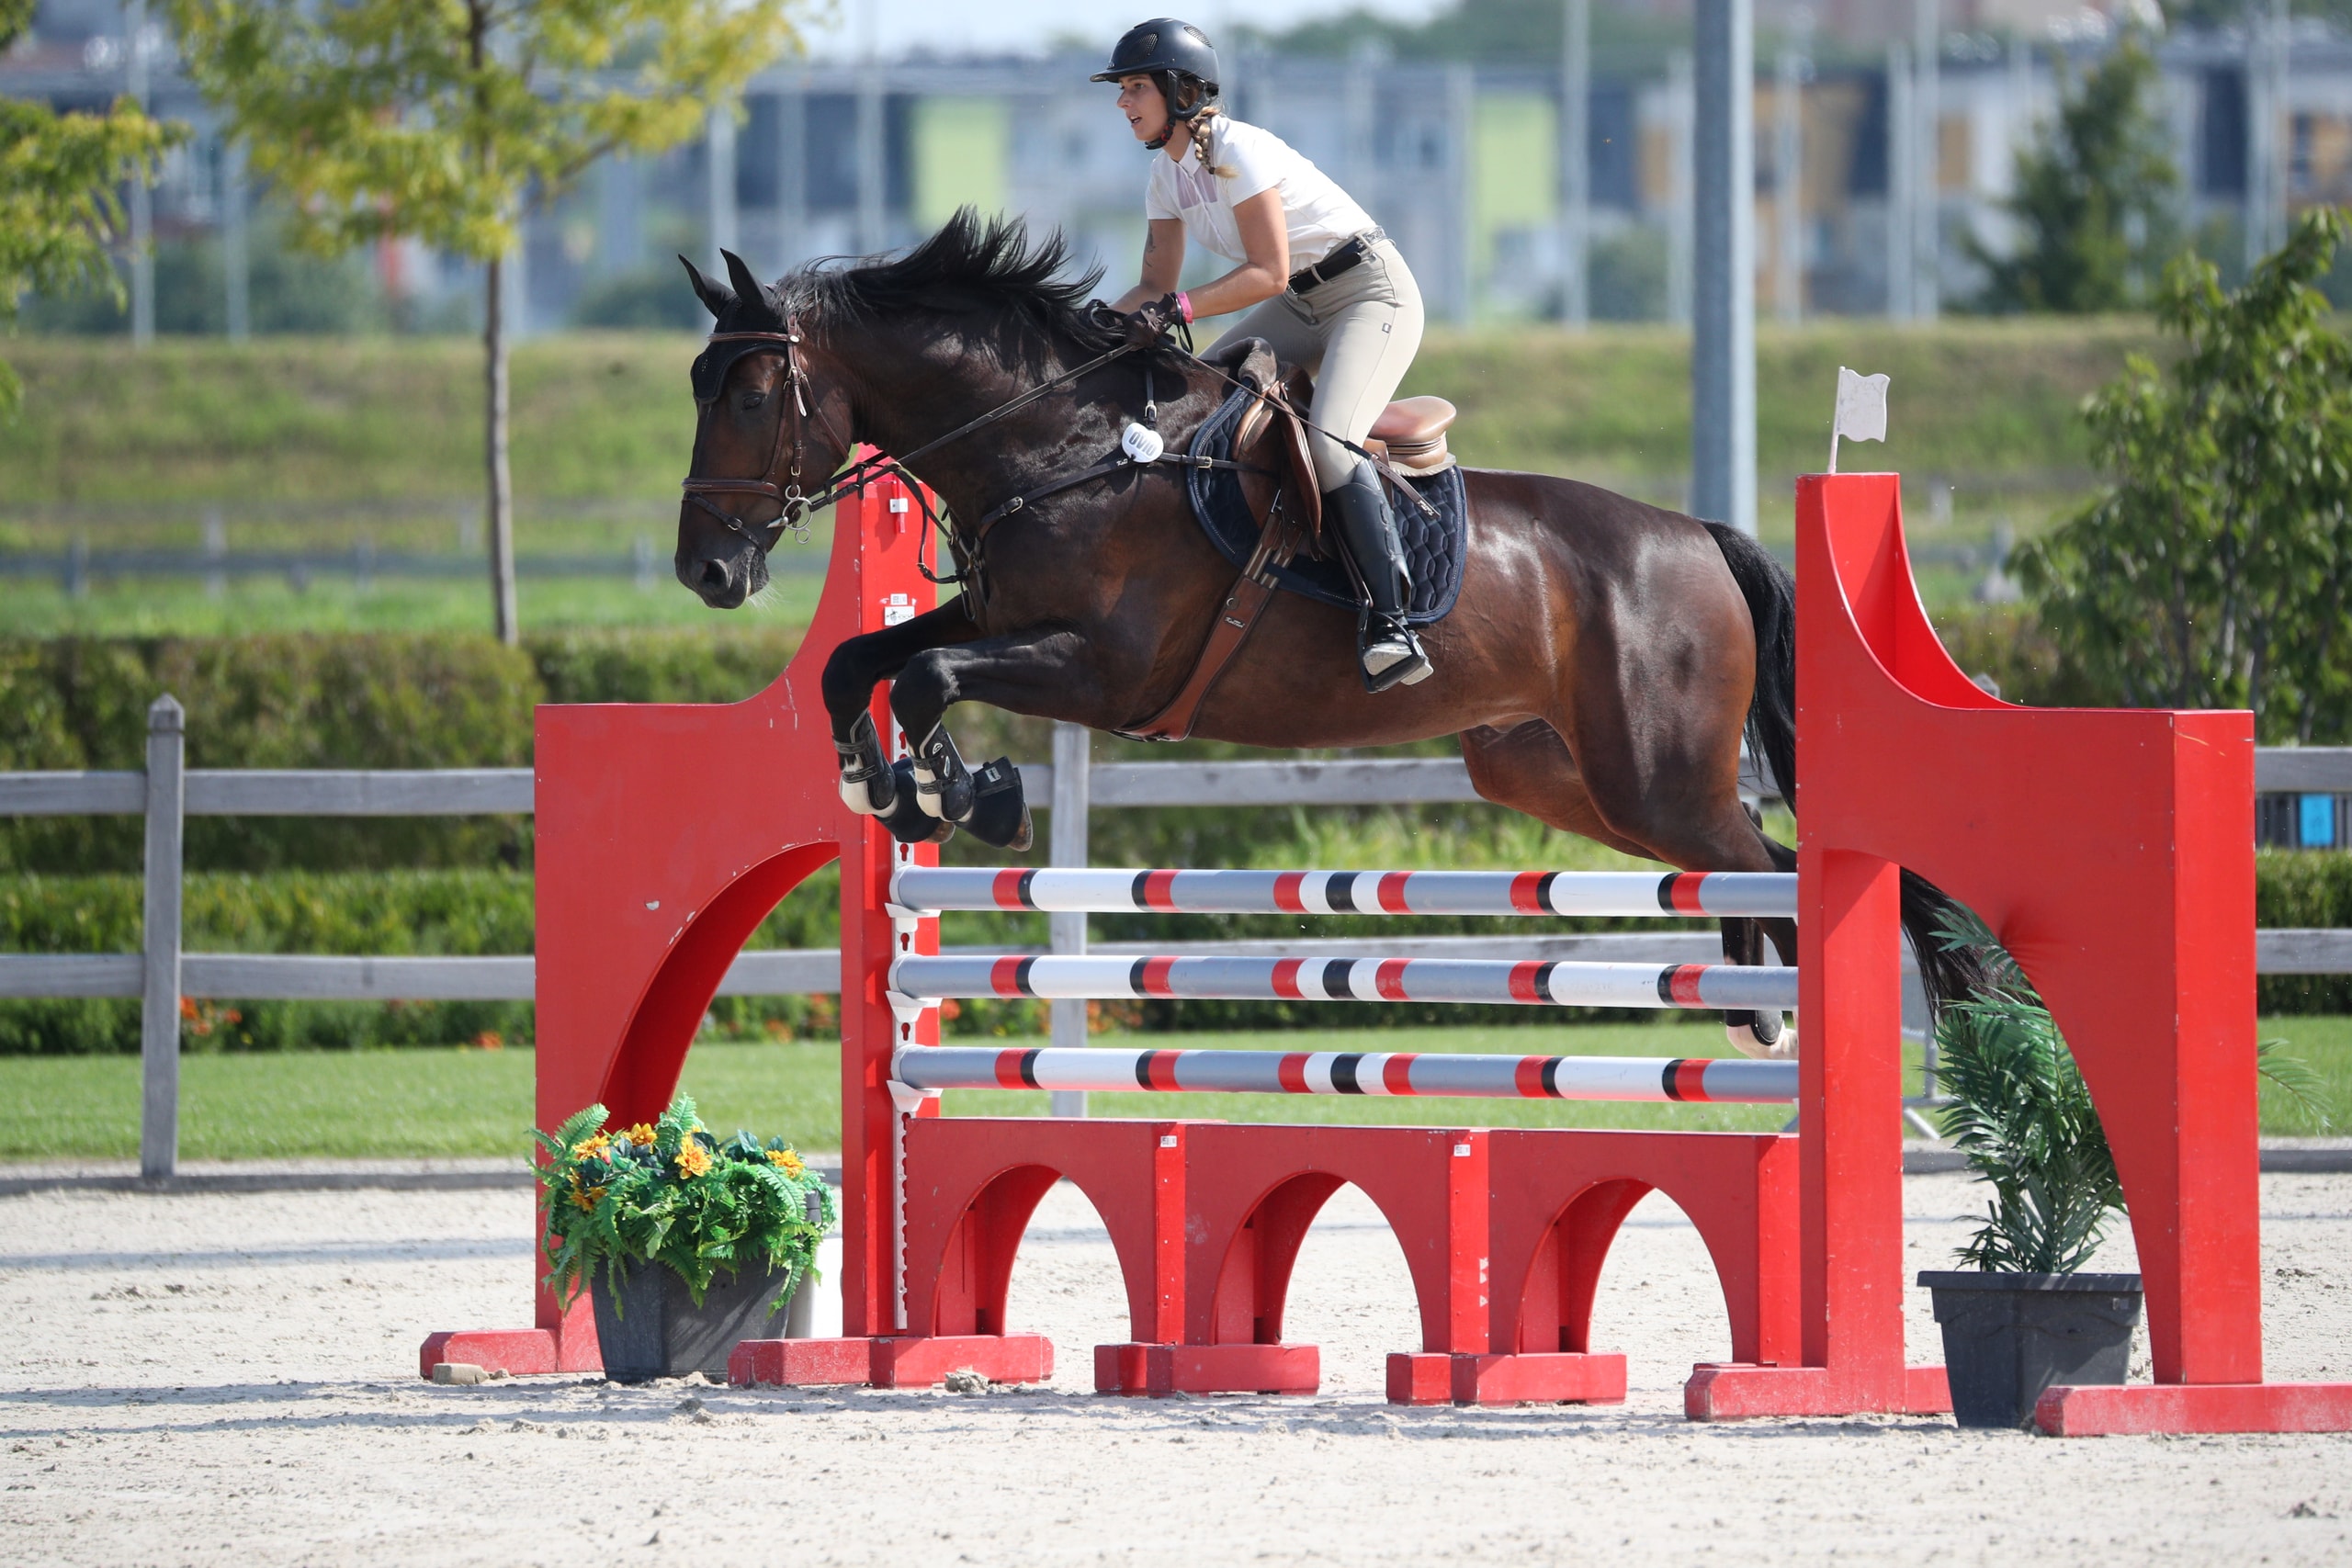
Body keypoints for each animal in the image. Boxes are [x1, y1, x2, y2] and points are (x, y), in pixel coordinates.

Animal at [671, 211, 1985, 1056]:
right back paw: (1754, 1004)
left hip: (1655, 777)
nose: (705, 571)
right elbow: (862, 664)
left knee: (1770, 856)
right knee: (1751, 851)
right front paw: (887, 787)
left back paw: (1778, 1009)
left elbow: (932, 675)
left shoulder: (1102, 671)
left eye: (751, 393)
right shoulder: (1003, 616)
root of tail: (1699, 537)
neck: (1064, 445)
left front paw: (960, 794)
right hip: (1562, 777)